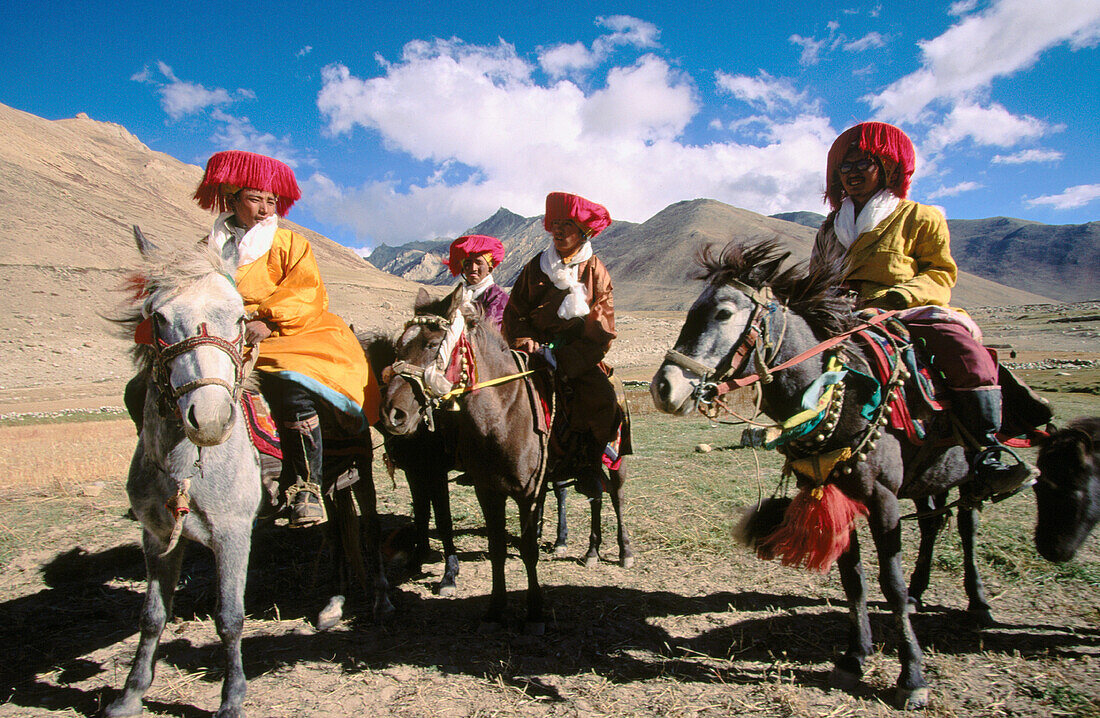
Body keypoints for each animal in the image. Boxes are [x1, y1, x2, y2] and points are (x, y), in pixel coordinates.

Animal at [380, 285, 550, 633]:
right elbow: (494, 548)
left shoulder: (526, 493)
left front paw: (535, 612)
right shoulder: (486, 490)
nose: (393, 414)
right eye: (398, 346)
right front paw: (495, 608)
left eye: (433, 345)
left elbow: (527, 550)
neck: (502, 418)